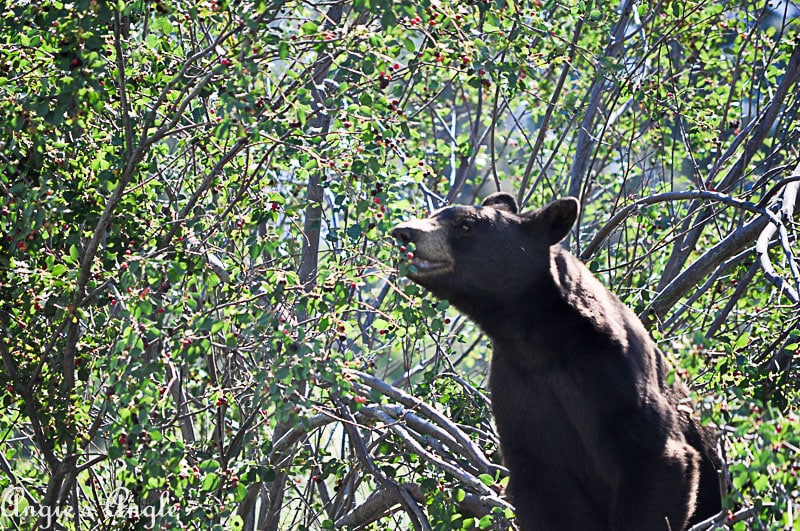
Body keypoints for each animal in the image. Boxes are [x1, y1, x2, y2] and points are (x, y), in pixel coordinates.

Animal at [390, 194, 720, 531]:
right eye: (434, 214)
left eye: (466, 225)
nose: (404, 232)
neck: (539, 341)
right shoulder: (518, 391)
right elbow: (544, 487)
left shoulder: (616, 376)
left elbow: (655, 457)